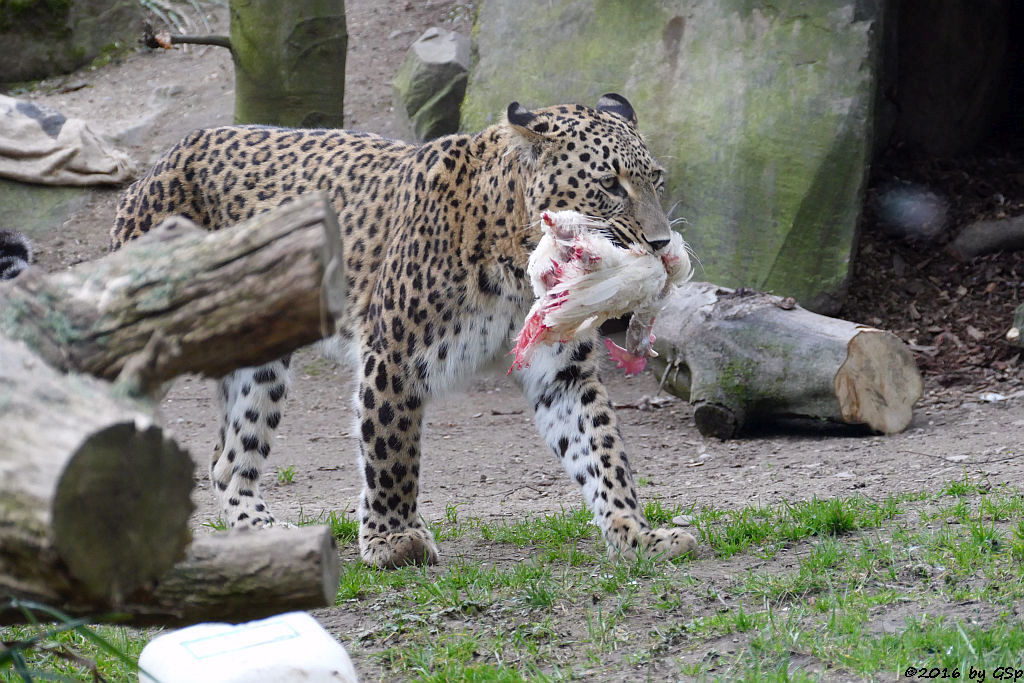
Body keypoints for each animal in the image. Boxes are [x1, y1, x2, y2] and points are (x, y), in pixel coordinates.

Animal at [112, 92, 700, 573]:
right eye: (609, 185)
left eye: (656, 179)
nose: (660, 243)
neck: (515, 257)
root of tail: (163, 159)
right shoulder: (393, 352)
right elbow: (391, 450)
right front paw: (394, 540)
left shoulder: (562, 371)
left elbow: (602, 452)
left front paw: (637, 535)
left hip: (261, 361)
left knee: (228, 458)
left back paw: (262, 536)